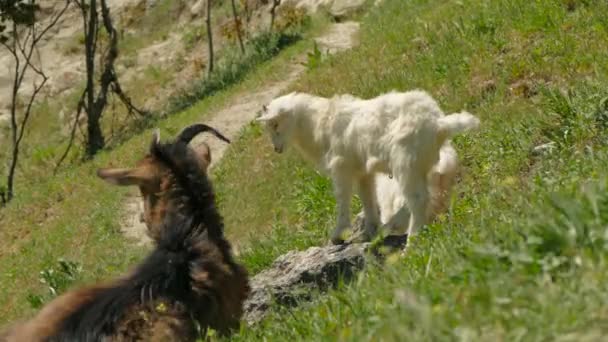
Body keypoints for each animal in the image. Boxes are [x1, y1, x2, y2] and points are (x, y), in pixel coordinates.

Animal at [256, 89, 480, 244]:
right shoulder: (362, 171)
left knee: (418, 200)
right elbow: (367, 197)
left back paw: (411, 241)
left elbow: (343, 198)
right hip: (421, 165)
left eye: (276, 124)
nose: (276, 148)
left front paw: (338, 234)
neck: (320, 123)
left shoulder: (341, 167)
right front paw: (370, 230)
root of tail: (439, 124)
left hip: (405, 162)